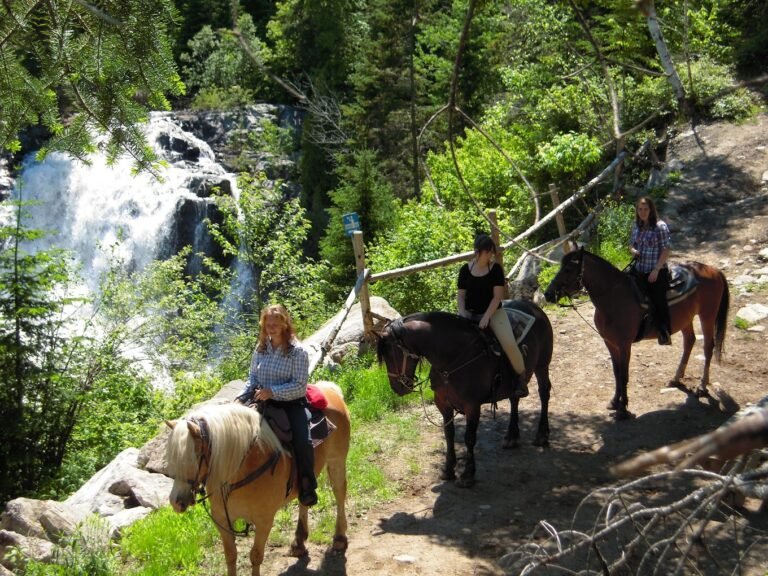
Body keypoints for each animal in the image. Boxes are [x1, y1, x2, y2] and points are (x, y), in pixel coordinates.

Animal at [166, 382, 352, 576]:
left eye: (190, 459)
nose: (175, 502)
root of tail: (329, 389)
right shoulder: (222, 520)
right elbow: (230, 556)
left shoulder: (264, 521)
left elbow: (255, 556)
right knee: (305, 500)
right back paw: (298, 543)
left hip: (336, 461)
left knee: (339, 493)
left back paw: (339, 538)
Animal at [376, 302, 552, 486]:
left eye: (391, 354)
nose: (397, 388)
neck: (453, 357)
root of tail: (534, 308)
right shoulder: (443, 403)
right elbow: (449, 434)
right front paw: (448, 469)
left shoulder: (472, 406)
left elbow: (469, 437)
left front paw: (468, 474)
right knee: (514, 399)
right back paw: (511, 436)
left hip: (542, 366)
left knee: (544, 394)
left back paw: (542, 435)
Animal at [544, 248, 728, 418]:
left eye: (568, 268)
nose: (548, 294)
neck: (613, 298)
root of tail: (713, 270)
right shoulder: (610, 343)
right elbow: (617, 373)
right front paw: (614, 402)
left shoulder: (624, 344)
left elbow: (624, 375)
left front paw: (623, 409)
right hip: (686, 318)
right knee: (689, 341)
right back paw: (675, 379)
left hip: (707, 315)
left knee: (708, 347)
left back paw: (702, 386)